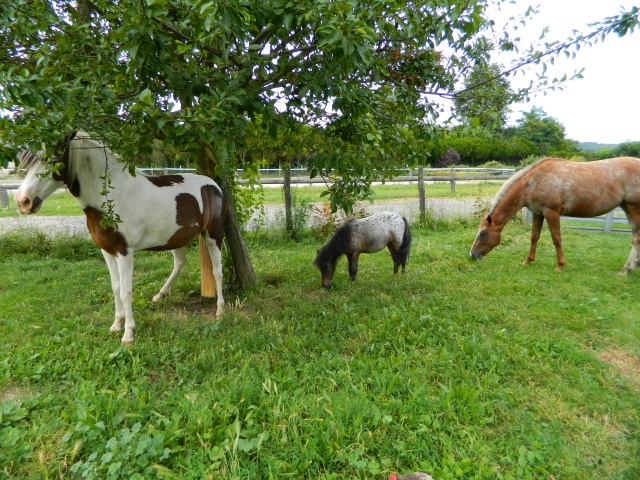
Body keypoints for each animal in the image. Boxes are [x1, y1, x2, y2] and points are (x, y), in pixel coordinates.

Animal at [14, 129, 228, 344]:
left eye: (54, 157)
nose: (23, 201)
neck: (112, 198)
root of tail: (213, 185)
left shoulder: (124, 252)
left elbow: (126, 291)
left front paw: (128, 334)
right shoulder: (107, 251)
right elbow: (116, 287)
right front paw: (117, 325)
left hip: (213, 236)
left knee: (217, 270)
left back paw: (220, 310)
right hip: (175, 239)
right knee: (180, 263)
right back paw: (159, 295)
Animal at [468, 156, 640, 272]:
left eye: (482, 233)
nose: (472, 255)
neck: (534, 182)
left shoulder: (551, 213)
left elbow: (556, 239)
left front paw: (560, 266)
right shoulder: (538, 213)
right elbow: (534, 237)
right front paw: (528, 261)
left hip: (633, 208)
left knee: (636, 238)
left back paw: (626, 269)